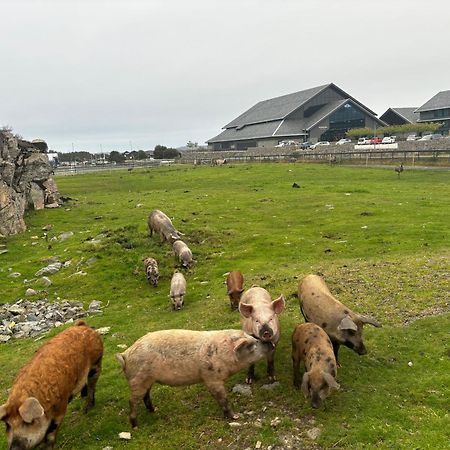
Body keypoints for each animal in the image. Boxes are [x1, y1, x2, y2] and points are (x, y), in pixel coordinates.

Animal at [116, 326, 270, 426]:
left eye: (254, 339)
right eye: (252, 345)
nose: (271, 344)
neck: (223, 354)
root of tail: (125, 355)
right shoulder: (211, 377)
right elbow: (223, 398)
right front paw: (236, 417)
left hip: (147, 379)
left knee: (145, 396)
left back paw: (154, 411)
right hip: (138, 380)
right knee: (132, 401)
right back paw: (135, 425)